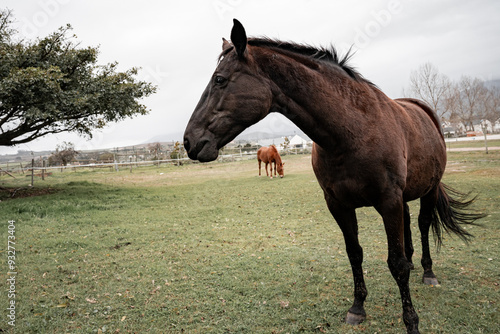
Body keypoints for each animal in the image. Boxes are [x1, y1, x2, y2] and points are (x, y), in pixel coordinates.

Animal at [184, 19, 484, 332]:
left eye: (219, 79)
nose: (189, 141)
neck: (353, 131)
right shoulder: (339, 205)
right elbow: (355, 253)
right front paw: (357, 307)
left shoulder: (388, 201)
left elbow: (396, 264)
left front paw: (411, 321)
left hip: (429, 189)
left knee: (424, 224)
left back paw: (427, 272)